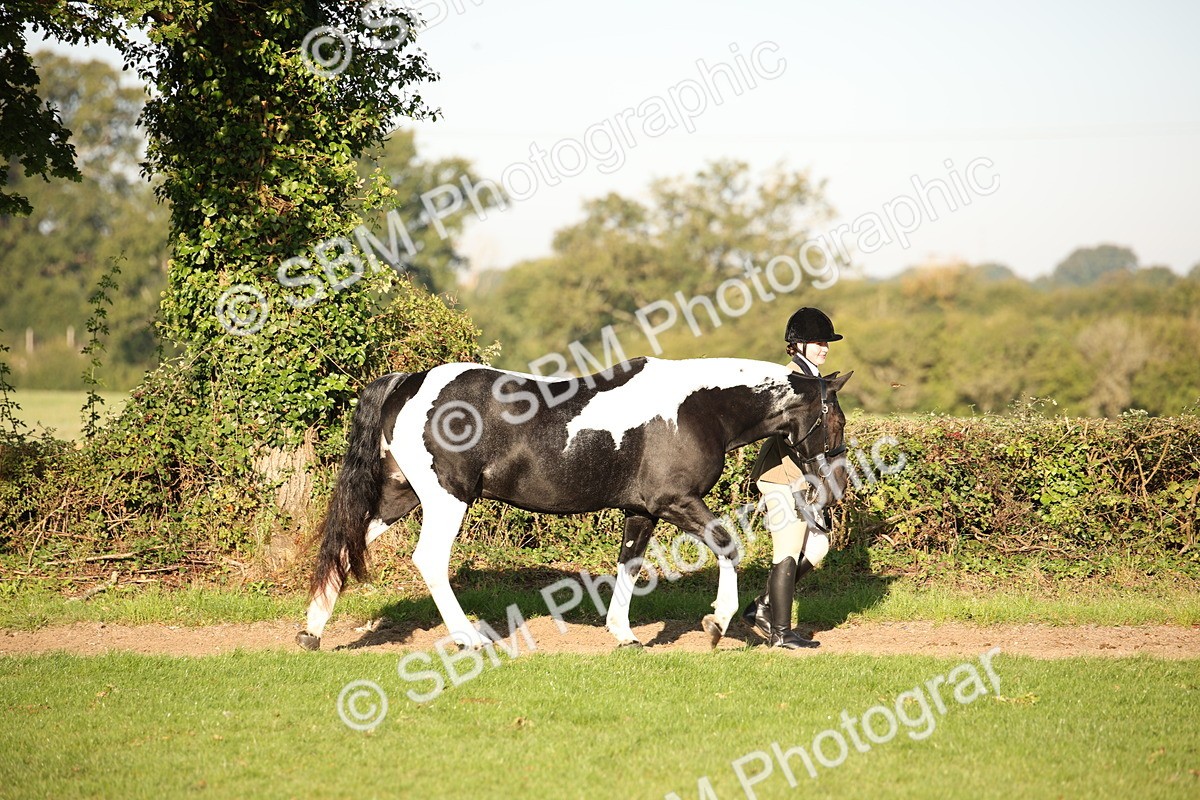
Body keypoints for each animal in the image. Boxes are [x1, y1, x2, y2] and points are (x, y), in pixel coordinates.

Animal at [297, 356, 852, 651]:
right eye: (837, 420)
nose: (837, 486)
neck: (698, 407)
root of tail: (408, 384)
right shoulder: (675, 501)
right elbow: (728, 544)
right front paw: (717, 623)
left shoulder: (643, 510)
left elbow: (630, 565)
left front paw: (623, 634)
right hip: (447, 498)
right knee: (429, 559)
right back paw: (469, 638)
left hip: (399, 495)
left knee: (346, 545)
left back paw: (311, 633)